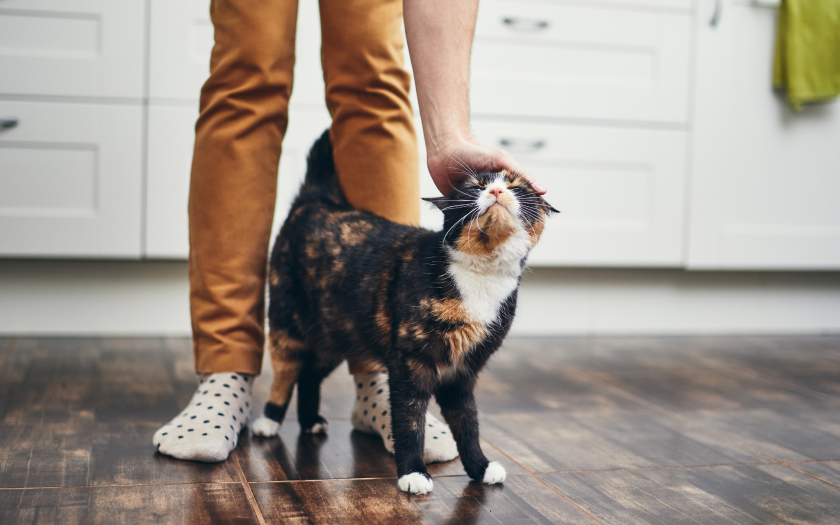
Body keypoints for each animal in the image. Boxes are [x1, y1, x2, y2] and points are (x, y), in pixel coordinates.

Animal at [254, 130, 556, 492]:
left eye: (516, 186)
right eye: (475, 186)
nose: (496, 191)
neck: (481, 275)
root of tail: (316, 200)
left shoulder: (463, 372)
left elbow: (468, 424)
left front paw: (480, 467)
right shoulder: (410, 363)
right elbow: (410, 420)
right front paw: (413, 472)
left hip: (337, 333)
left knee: (310, 373)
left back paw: (311, 420)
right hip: (287, 323)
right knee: (286, 372)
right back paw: (269, 420)